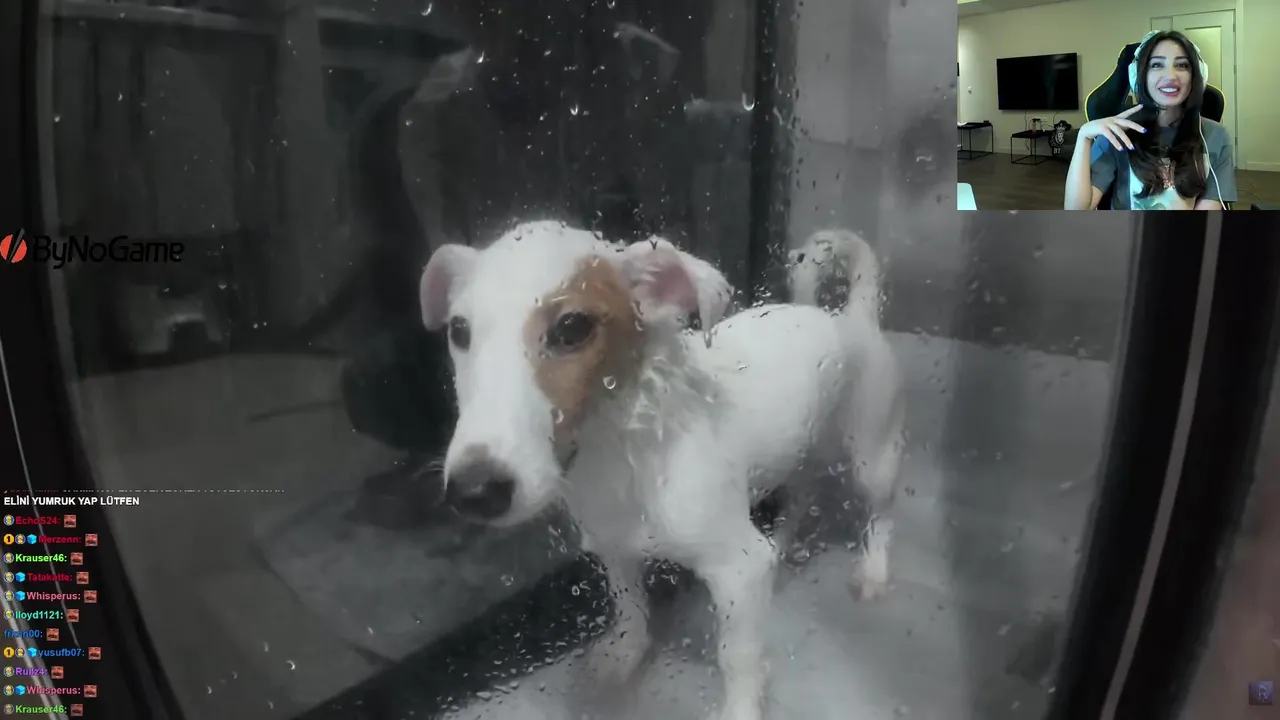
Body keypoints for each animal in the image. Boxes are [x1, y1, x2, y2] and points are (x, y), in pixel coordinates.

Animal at [419, 221, 904, 720]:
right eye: (459, 330)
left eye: (572, 328)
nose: (474, 491)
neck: (624, 453)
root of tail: (849, 316)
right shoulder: (613, 547)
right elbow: (629, 604)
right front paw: (627, 651)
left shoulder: (738, 570)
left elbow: (738, 657)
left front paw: (740, 708)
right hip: (802, 447)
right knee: (803, 492)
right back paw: (785, 539)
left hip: (872, 456)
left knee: (881, 513)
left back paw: (873, 569)